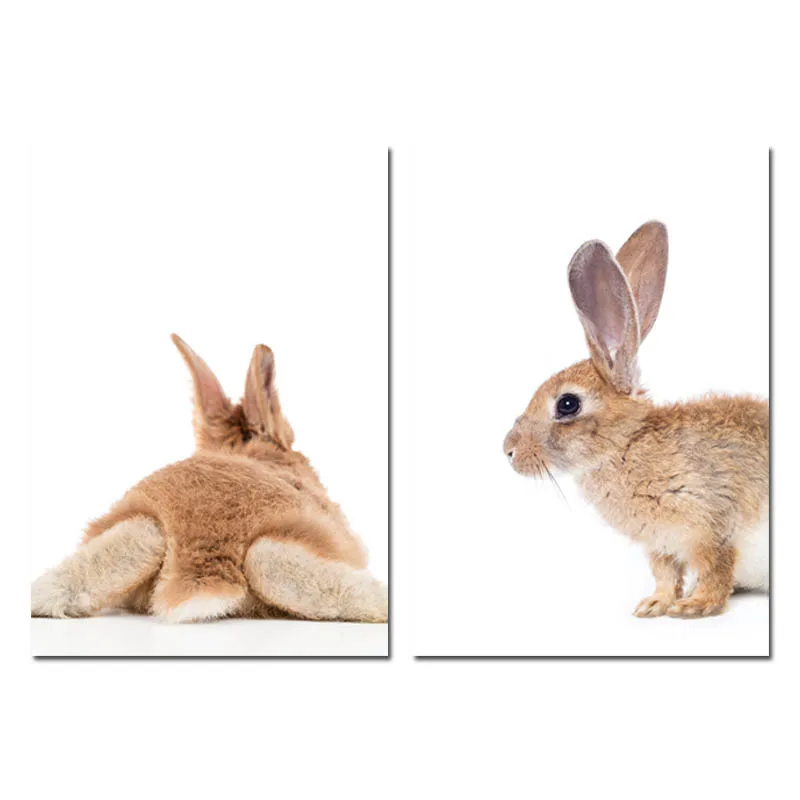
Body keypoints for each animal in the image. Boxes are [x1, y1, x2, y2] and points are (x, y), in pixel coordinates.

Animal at [503, 221, 768, 618]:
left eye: (567, 404)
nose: (508, 450)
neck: (626, 445)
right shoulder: (659, 545)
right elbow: (664, 573)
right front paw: (653, 605)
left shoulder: (710, 524)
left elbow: (714, 569)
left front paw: (694, 606)